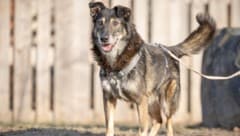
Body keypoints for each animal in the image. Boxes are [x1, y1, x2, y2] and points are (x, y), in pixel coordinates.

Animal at [88, 1, 216, 136]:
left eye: (115, 23)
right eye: (100, 23)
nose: (104, 38)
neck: (115, 62)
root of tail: (170, 50)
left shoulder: (140, 101)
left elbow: (142, 129)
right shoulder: (109, 98)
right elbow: (109, 127)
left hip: (166, 102)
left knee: (168, 123)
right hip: (151, 101)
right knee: (158, 121)